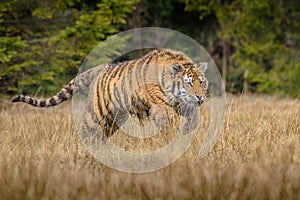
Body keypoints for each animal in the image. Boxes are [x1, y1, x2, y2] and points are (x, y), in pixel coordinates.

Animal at [11, 48, 209, 139]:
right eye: (189, 83)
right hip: (96, 115)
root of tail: (98, 69)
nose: (200, 97)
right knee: (87, 132)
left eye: (201, 82)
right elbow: (169, 122)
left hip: (115, 118)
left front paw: (187, 131)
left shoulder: (182, 104)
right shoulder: (161, 106)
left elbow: (194, 118)